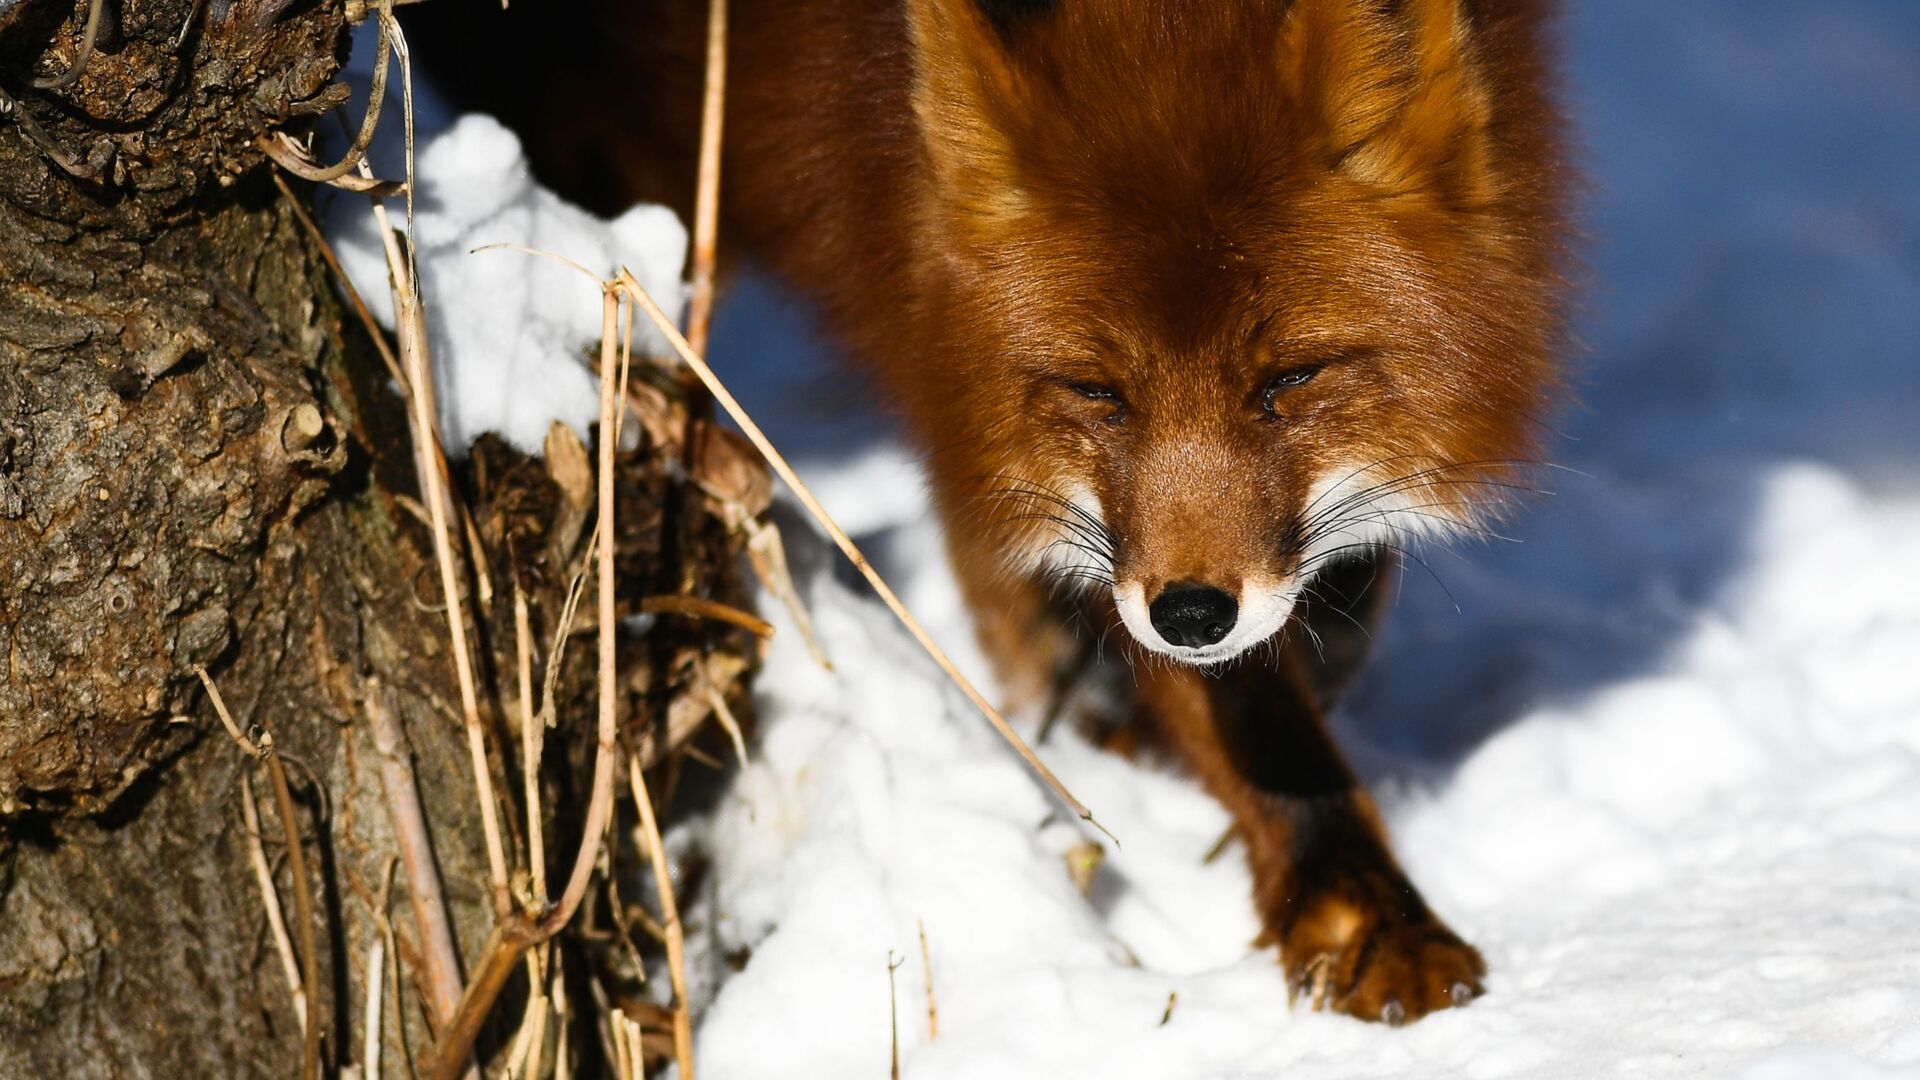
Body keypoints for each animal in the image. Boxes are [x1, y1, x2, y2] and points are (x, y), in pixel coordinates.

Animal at [412, 0, 1566, 1022]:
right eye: (1099, 392)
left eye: (1289, 380)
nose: (1192, 617)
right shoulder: (955, 358)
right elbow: (1252, 715)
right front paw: (1357, 908)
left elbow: (1335, 602)